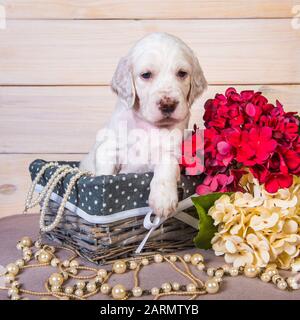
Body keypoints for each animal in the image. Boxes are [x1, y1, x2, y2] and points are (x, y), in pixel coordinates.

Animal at [79, 32, 206, 218]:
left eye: (182, 73)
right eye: (146, 75)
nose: (168, 105)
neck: (147, 125)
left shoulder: (171, 151)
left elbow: (167, 165)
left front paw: (163, 199)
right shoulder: (109, 147)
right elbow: (104, 172)